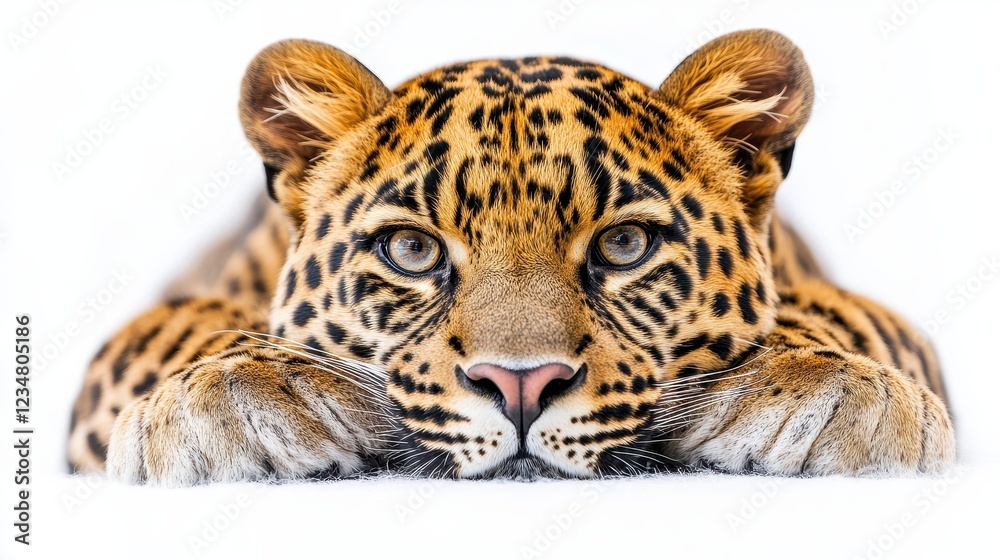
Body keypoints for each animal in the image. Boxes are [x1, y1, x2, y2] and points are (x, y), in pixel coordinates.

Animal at [67, 29, 956, 485]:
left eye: (623, 245)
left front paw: (830, 386)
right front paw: (229, 395)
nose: (520, 386)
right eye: (412, 250)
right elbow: (173, 326)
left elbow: (846, 314)